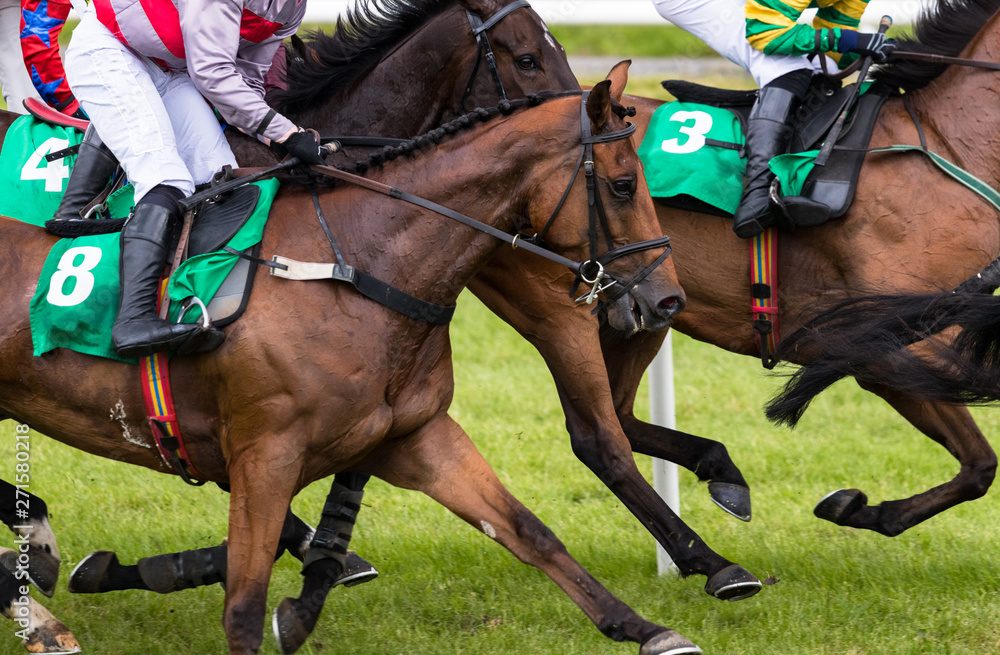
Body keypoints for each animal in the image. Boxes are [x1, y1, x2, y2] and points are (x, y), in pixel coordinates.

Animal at [0, 60, 699, 655]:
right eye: (623, 185)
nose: (667, 300)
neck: (354, 265)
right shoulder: (264, 456)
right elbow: (244, 605)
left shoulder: (416, 435)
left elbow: (530, 531)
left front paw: (647, 628)